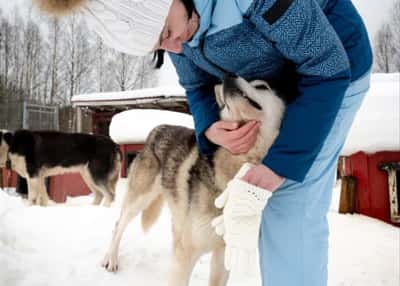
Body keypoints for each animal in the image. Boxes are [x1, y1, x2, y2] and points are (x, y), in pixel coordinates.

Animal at [101, 75, 286, 284]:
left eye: (262, 86)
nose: (228, 76)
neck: (237, 163)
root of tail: (157, 130)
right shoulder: (186, 253)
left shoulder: (222, 254)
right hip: (139, 200)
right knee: (118, 225)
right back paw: (111, 259)